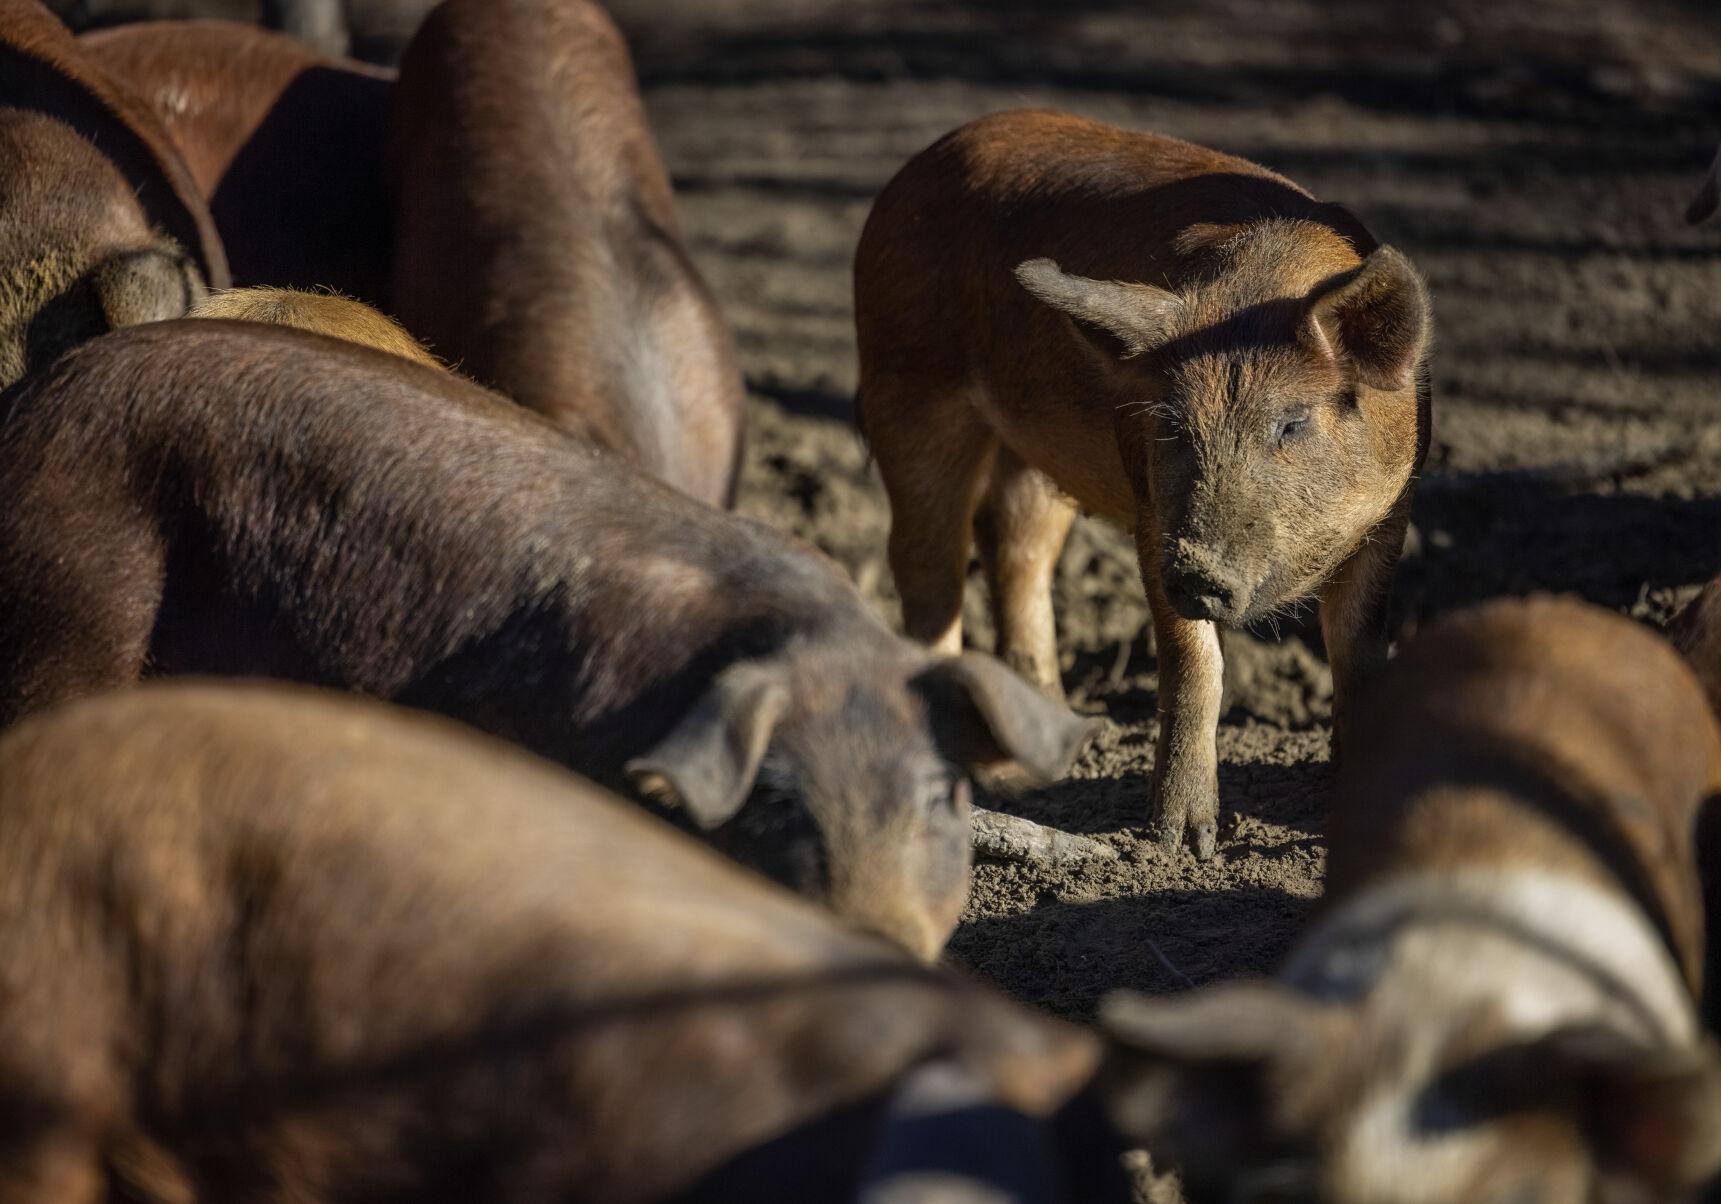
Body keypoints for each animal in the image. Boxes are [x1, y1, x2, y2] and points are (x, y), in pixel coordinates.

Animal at [854, 110, 1433, 859]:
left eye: (1293, 422)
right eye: (1172, 422)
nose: (1198, 570)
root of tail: (916, 165)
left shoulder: (1391, 515)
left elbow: (1357, 653)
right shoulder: (1153, 514)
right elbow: (1193, 664)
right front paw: (1179, 845)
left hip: (1030, 447)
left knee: (1015, 543)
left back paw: (1059, 736)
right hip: (905, 382)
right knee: (928, 568)